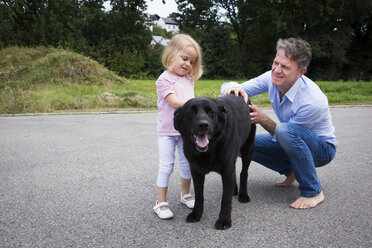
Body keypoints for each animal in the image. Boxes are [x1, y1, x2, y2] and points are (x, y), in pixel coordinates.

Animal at [174, 94, 256, 230]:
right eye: (191, 112)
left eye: (210, 112)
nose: (203, 125)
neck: (210, 149)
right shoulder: (196, 172)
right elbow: (199, 196)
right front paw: (196, 214)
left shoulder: (227, 171)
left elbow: (225, 200)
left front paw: (224, 220)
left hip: (248, 149)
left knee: (244, 173)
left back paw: (243, 195)